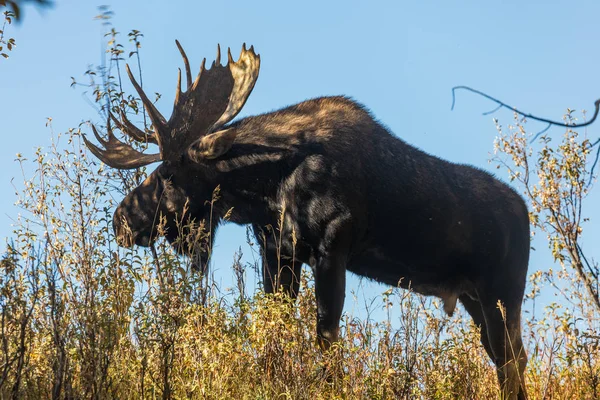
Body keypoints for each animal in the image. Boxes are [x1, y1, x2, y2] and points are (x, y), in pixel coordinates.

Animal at [82, 42, 528, 398]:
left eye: (170, 174)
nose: (121, 220)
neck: (270, 187)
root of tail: (525, 214)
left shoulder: (333, 249)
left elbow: (325, 337)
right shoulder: (278, 253)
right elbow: (275, 334)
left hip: (502, 293)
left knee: (509, 359)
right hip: (474, 298)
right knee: (511, 358)